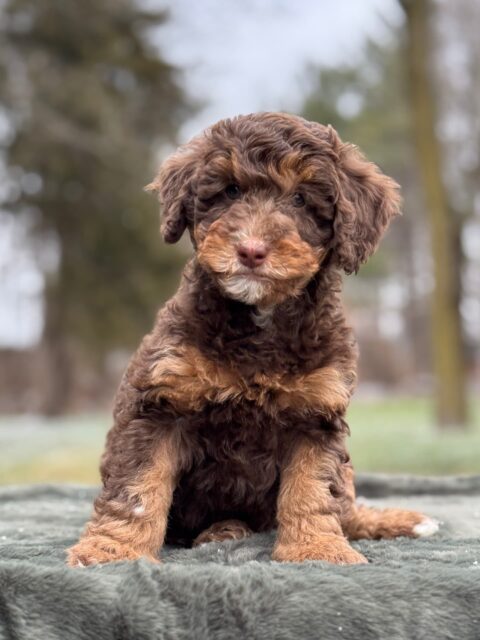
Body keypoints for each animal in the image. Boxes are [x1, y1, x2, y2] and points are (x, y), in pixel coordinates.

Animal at [67, 112, 438, 568]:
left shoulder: (315, 413)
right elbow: (138, 486)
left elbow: (313, 488)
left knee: (346, 507)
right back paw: (222, 531)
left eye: (300, 200)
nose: (251, 250)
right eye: (230, 191)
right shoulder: (160, 404)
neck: (260, 320)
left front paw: (316, 549)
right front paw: (113, 550)